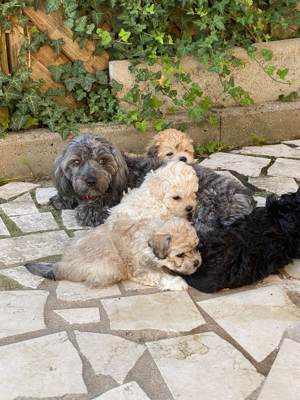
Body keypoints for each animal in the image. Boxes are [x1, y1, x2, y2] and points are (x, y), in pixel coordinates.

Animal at [25, 216, 202, 290]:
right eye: (180, 255)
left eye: (196, 247)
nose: (197, 263)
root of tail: (62, 264)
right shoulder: (139, 270)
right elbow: (159, 275)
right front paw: (177, 282)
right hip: (111, 265)